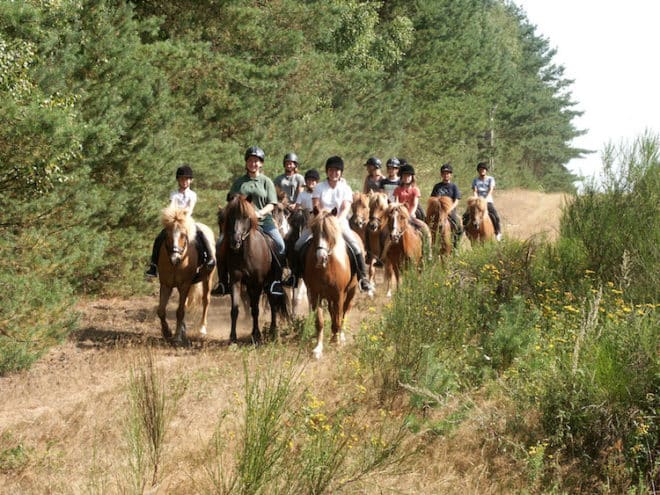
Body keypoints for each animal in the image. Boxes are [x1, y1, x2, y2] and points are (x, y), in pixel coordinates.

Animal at [157, 205, 214, 344]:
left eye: (183, 235)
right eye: (167, 234)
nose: (175, 258)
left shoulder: (184, 285)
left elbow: (180, 311)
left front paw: (177, 337)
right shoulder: (166, 284)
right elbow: (161, 310)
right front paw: (167, 332)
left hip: (207, 279)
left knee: (205, 300)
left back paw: (202, 329)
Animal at [219, 195, 288, 344]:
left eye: (246, 217)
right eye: (230, 216)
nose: (235, 241)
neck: (246, 253)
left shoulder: (257, 283)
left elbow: (255, 309)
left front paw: (256, 335)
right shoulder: (236, 281)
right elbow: (235, 309)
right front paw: (232, 337)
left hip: (270, 283)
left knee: (273, 303)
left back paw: (273, 331)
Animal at [302, 209, 356, 360]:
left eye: (329, 232)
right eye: (314, 230)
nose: (321, 258)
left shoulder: (339, 295)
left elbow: (339, 318)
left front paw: (337, 343)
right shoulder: (315, 295)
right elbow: (319, 322)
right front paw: (318, 349)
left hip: (351, 292)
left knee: (344, 312)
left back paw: (340, 337)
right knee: (333, 313)